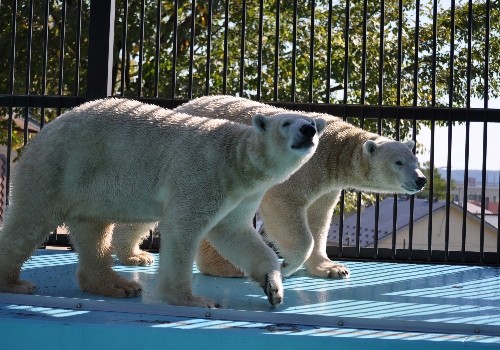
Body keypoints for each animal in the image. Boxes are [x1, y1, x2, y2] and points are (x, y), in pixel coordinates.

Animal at [0, 98, 326, 306]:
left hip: (87, 186)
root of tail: (45, 129)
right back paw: (14, 282)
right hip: (56, 167)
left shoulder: (244, 195)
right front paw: (192, 300)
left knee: (93, 231)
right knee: (30, 220)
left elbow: (234, 232)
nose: (308, 130)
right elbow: (182, 229)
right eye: (286, 123)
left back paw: (118, 285)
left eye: (311, 122)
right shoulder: (203, 172)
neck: (235, 157)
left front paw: (274, 287)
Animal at [112, 95, 426, 278]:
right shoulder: (301, 169)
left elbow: (319, 218)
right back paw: (135, 254)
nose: (421, 179)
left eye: (416, 159)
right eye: (399, 162)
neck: (335, 148)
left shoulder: (327, 185)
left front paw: (332, 268)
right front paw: (286, 265)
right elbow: (285, 208)